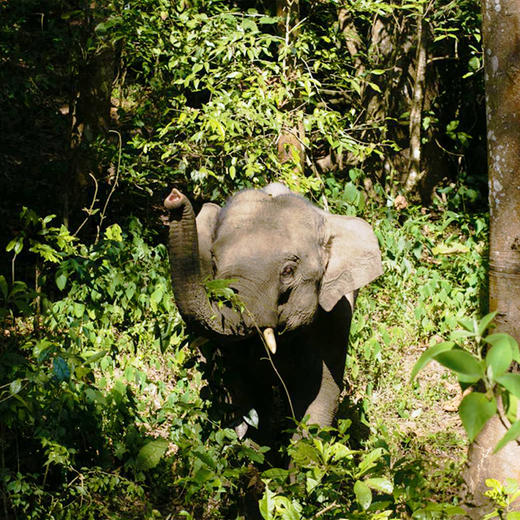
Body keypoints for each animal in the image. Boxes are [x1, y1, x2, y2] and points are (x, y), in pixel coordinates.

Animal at [164, 182, 382, 446]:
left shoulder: (335, 317)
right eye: (213, 261)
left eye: (288, 271)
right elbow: (242, 386)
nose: (174, 197)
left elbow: (320, 392)